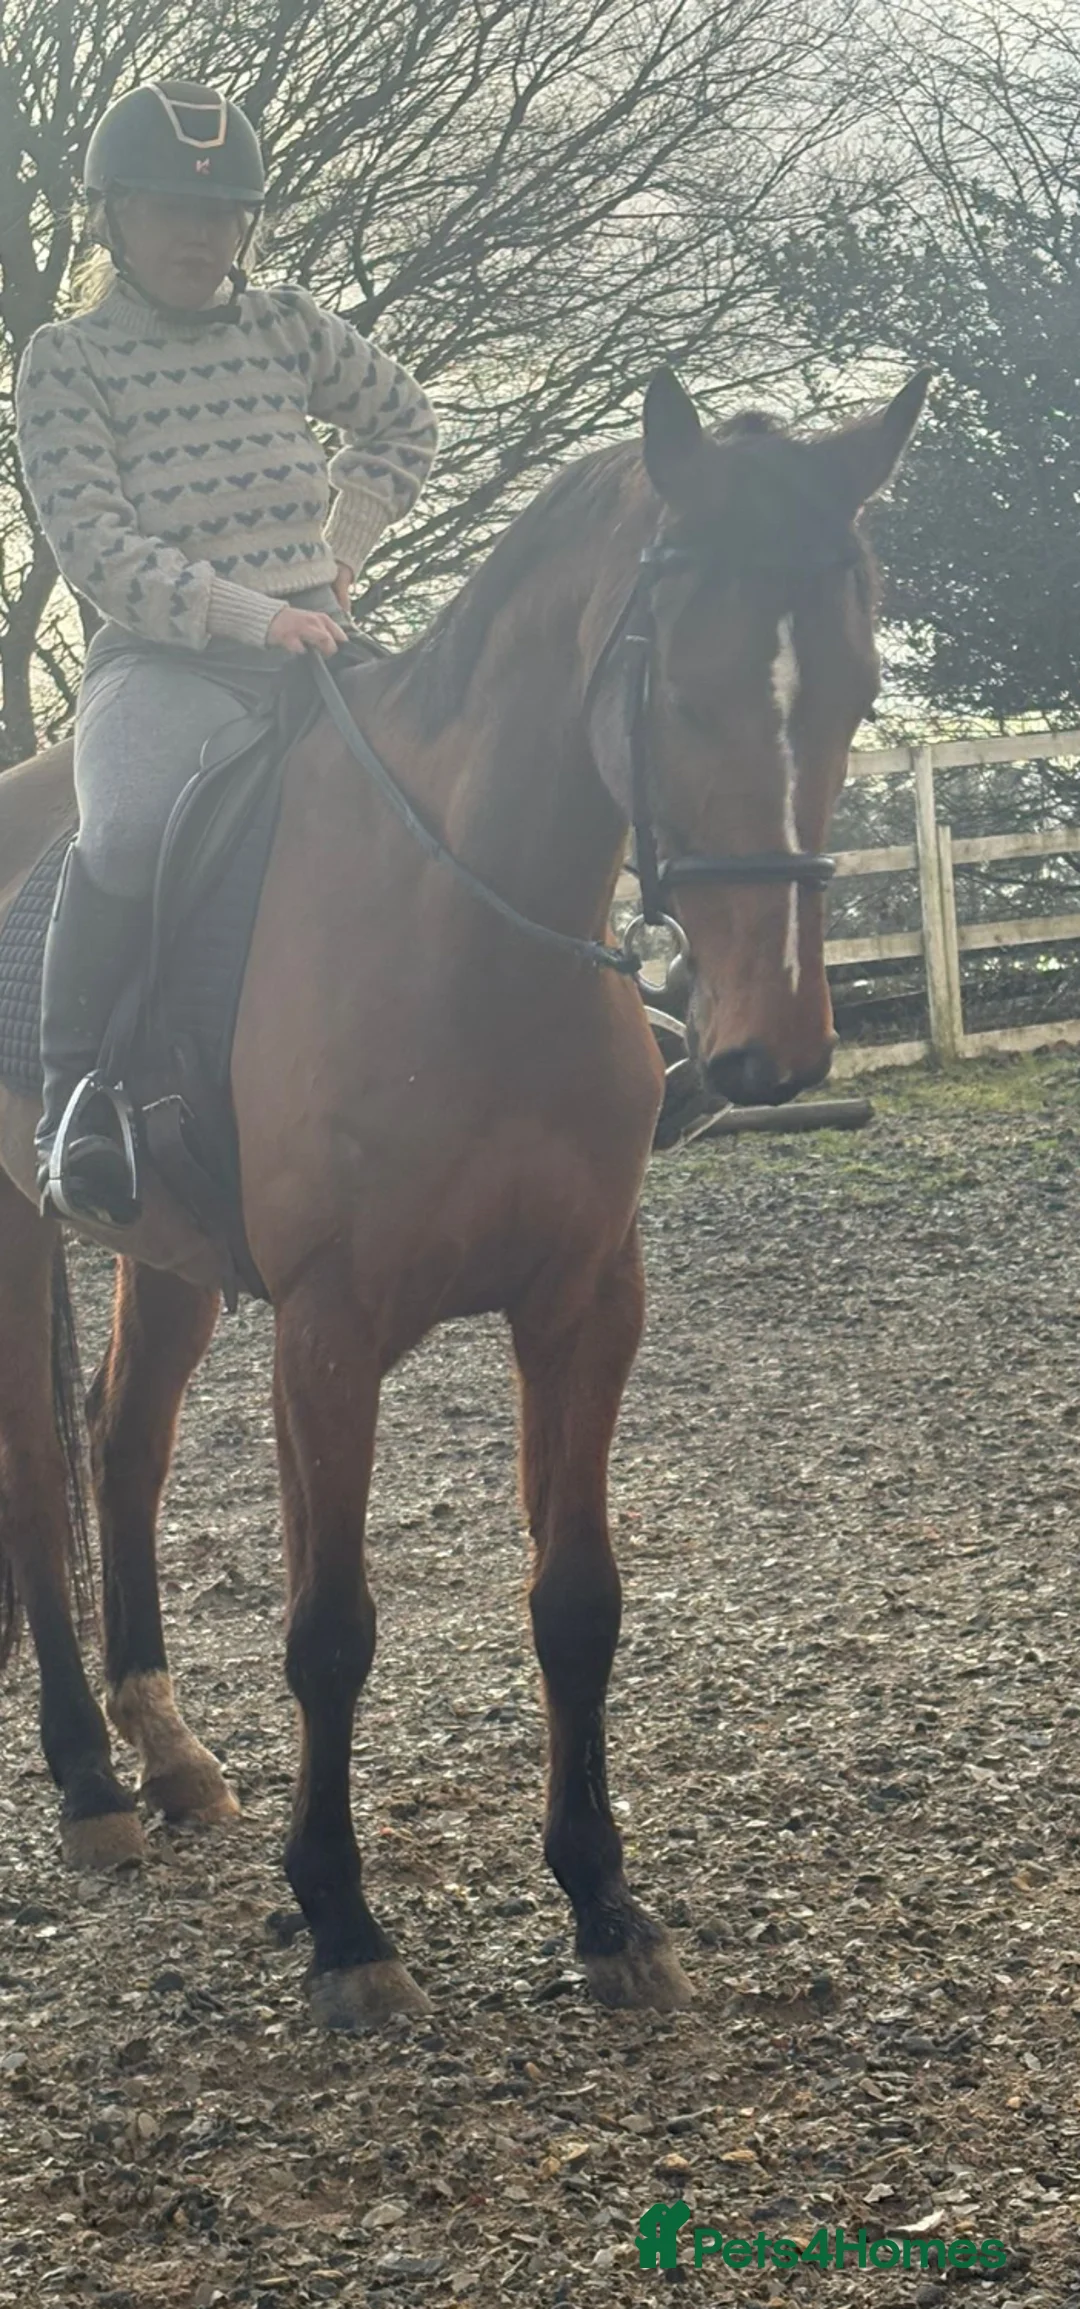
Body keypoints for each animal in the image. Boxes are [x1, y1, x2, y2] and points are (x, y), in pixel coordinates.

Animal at [0, 364, 928, 2026]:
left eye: (854, 689)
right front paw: (345, 1924)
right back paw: (89, 1782)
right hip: (17, 1234)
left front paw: (603, 1901)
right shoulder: (329, 1331)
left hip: (165, 1260)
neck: (463, 924)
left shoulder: (585, 1305)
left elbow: (577, 1599)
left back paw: (169, 1756)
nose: (769, 1047)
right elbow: (329, 1629)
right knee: (40, 1482)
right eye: (679, 691)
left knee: (124, 1446)